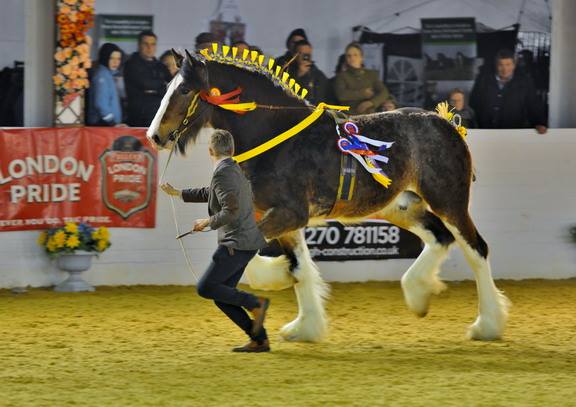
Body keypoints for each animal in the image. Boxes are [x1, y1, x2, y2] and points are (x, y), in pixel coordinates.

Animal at [147, 46, 508, 342]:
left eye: (183, 90)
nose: (154, 136)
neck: (274, 135)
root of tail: (447, 123)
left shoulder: (290, 214)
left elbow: (259, 262)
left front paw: (275, 278)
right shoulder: (282, 218)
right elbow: (299, 269)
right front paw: (305, 326)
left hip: (449, 200)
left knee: (476, 249)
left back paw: (486, 325)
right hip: (401, 207)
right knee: (440, 238)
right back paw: (419, 294)